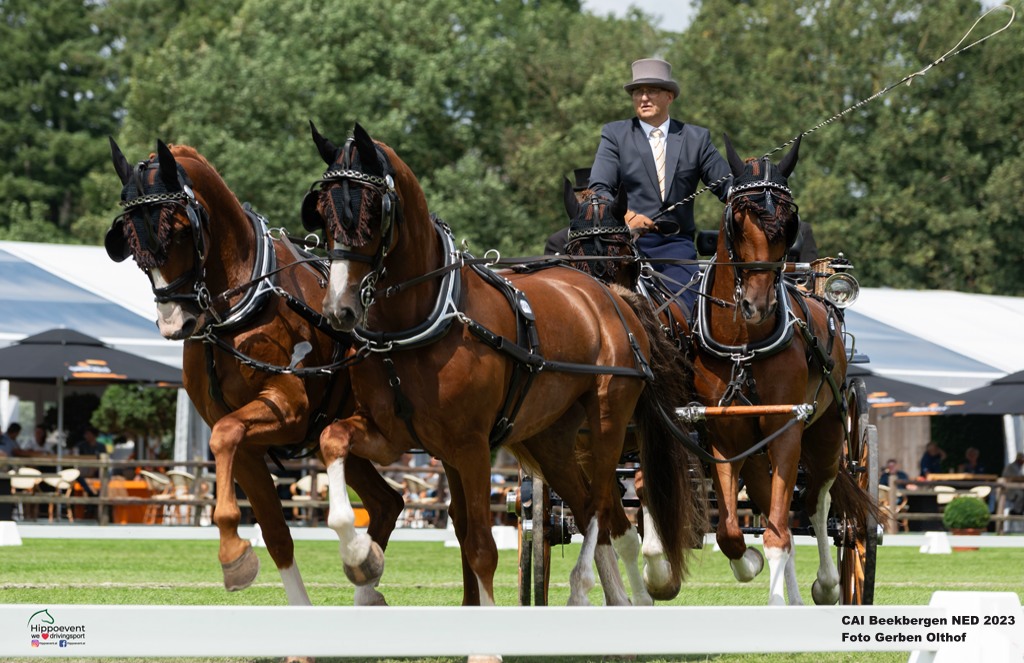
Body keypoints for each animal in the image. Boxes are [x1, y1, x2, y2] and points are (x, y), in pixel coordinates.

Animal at [104, 140, 403, 606]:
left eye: (181, 230)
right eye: (131, 242)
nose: (174, 323)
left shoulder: (289, 408)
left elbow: (225, 435)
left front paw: (233, 553)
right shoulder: (245, 440)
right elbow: (276, 533)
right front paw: (239, 558)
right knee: (388, 503)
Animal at [303, 124, 704, 606]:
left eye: (370, 211)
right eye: (322, 212)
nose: (338, 309)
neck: (420, 322)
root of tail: (612, 299)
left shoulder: (471, 446)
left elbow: (480, 546)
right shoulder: (398, 437)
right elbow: (333, 439)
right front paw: (360, 555)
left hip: (608, 421)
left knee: (602, 508)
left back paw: (588, 588)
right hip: (552, 439)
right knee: (594, 507)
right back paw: (622, 600)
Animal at [688, 136, 872, 606]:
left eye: (790, 222)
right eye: (738, 218)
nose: (759, 305)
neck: (743, 344)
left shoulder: (786, 427)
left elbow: (779, 533)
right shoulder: (725, 434)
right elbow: (731, 530)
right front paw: (748, 563)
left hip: (826, 433)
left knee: (818, 505)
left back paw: (826, 584)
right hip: (758, 450)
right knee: (777, 509)